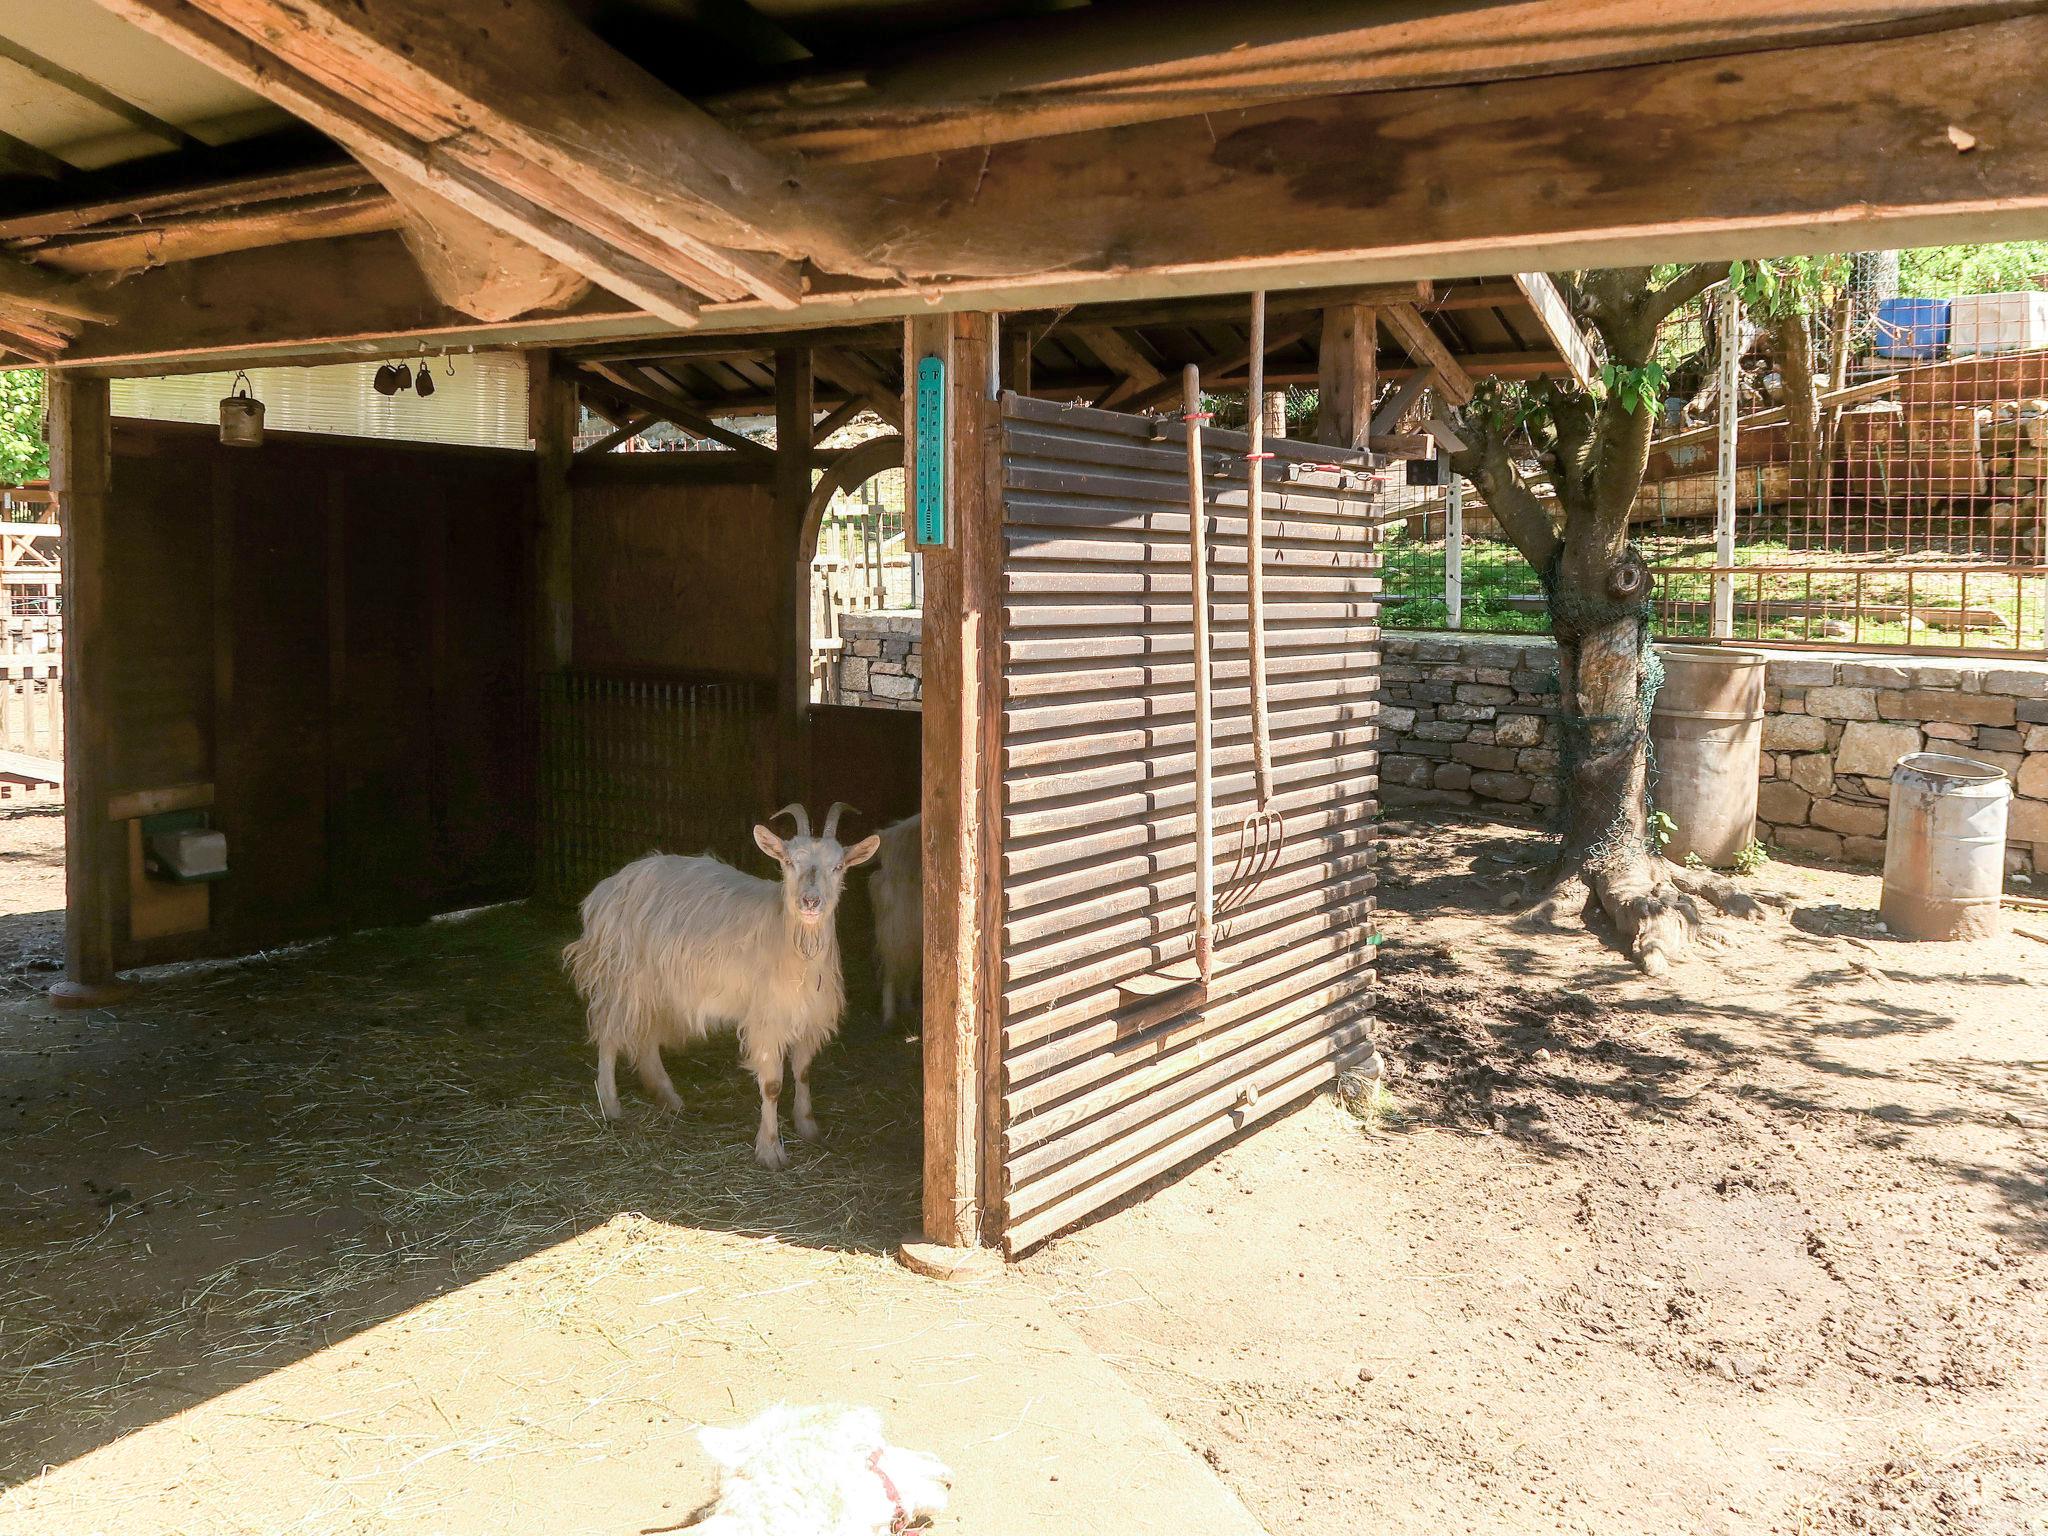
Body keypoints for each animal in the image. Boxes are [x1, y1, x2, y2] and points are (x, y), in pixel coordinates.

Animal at [565, 806, 876, 1163]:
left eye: (838, 866)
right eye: (787, 862)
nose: (810, 902)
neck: (794, 945)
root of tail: (607, 888)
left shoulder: (808, 1015)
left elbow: (803, 1072)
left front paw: (809, 1127)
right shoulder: (767, 1019)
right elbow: (772, 1085)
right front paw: (770, 1151)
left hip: (658, 985)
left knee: (644, 1036)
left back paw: (669, 1097)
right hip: (623, 979)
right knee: (609, 1034)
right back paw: (611, 1106)